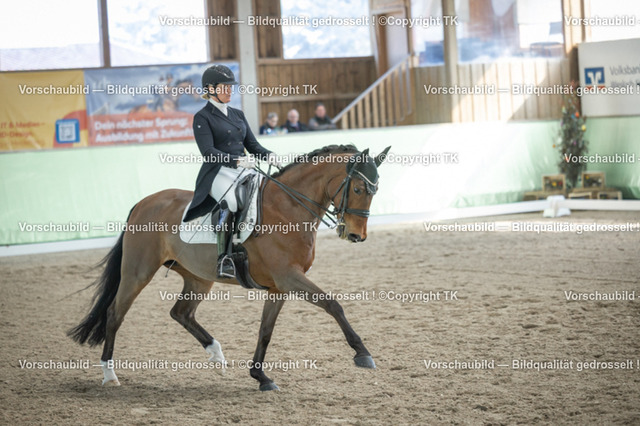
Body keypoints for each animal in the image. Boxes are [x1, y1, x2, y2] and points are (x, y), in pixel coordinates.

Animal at [67, 144, 391, 391]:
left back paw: (217, 355)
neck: (288, 207)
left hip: (198, 277)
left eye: (375, 191)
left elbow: (265, 330)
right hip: (138, 272)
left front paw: (260, 377)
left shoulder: (279, 287)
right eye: (359, 188)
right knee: (114, 314)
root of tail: (143, 203)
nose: (356, 236)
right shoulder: (290, 278)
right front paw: (363, 354)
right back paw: (109, 375)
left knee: (181, 313)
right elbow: (333, 304)